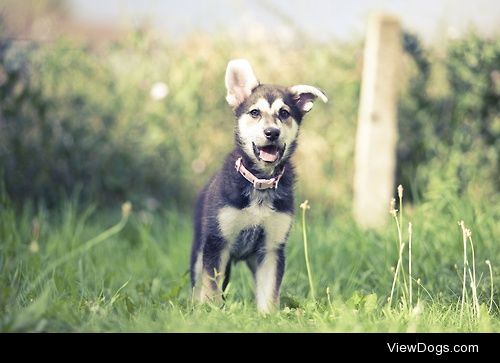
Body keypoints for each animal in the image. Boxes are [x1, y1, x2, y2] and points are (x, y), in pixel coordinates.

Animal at [189, 59, 326, 312]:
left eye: (284, 113)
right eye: (254, 112)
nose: (272, 133)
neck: (260, 181)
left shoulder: (271, 249)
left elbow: (269, 292)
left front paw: (268, 316)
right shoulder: (216, 243)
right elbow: (211, 289)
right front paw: (211, 313)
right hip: (199, 249)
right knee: (197, 285)